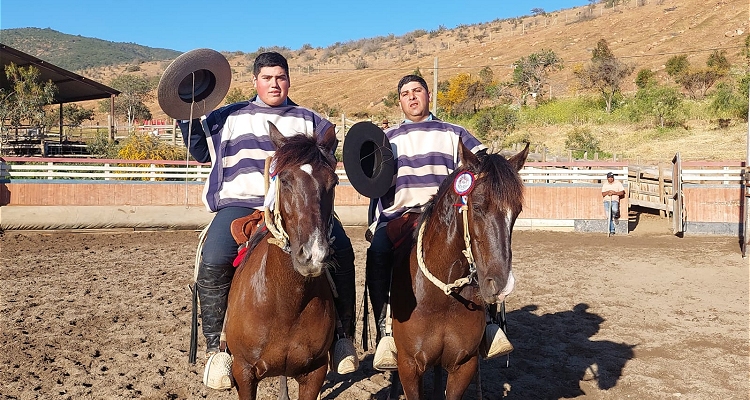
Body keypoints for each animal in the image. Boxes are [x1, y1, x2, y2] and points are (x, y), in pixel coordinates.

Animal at [225, 122, 340, 400]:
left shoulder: (315, 373)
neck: (286, 305)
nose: (313, 255)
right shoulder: (244, 372)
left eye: (333, 182)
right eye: (286, 180)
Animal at [390, 140, 532, 396]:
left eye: (516, 211)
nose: (501, 285)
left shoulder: (464, 365)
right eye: (478, 206)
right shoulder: (409, 366)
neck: (443, 297)